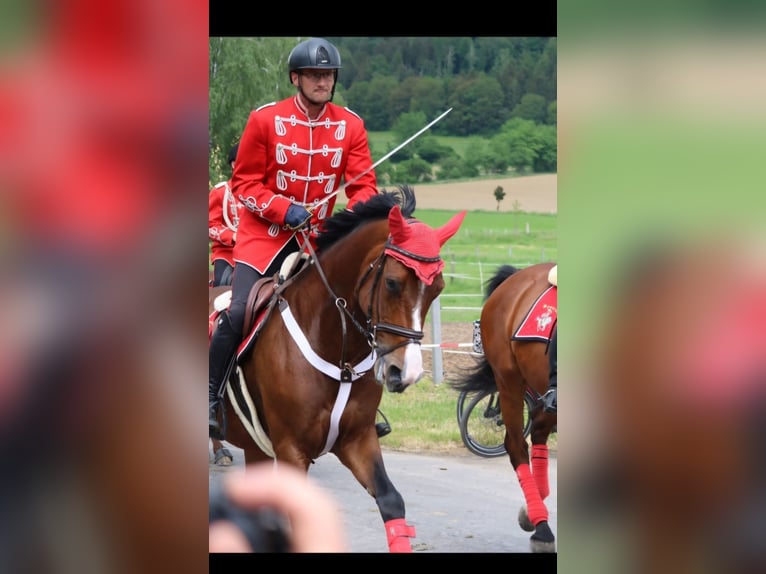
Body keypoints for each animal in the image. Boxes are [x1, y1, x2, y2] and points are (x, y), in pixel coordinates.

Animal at [213, 187, 472, 556]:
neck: (338, 351)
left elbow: (391, 501)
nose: (404, 373)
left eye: (437, 289)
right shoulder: (291, 449)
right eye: (392, 283)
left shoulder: (358, 439)